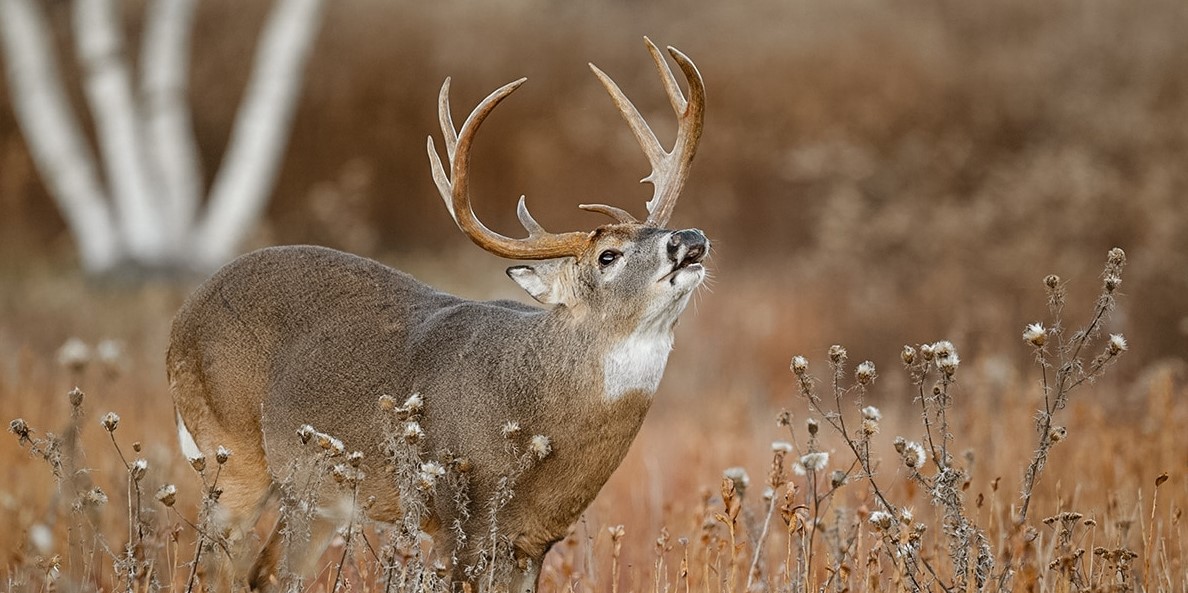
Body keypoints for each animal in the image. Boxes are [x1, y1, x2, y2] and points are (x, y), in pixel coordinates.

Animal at [167, 38, 703, 593]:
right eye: (608, 256)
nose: (689, 239)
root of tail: (182, 317)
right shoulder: (457, 517)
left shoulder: (533, 542)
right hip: (231, 450)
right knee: (214, 565)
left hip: (317, 496)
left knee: (266, 573)